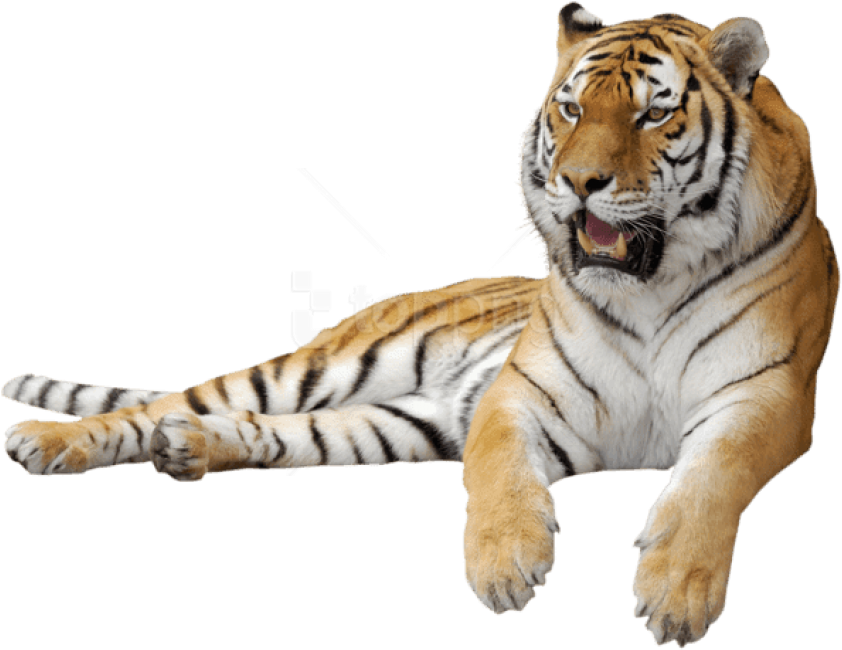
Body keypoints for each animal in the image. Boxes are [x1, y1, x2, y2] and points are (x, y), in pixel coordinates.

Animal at [3, 3, 838, 646]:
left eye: (654, 112)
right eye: (572, 109)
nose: (577, 182)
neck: (651, 288)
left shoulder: (766, 396)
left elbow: (711, 477)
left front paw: (675, 592)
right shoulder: (519, 392)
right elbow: (498, 470)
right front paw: (506, 564)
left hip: (398, 420)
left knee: (270, 432)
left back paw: (190, 450)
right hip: (323, 367)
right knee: (167, 404)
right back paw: (45, 441)